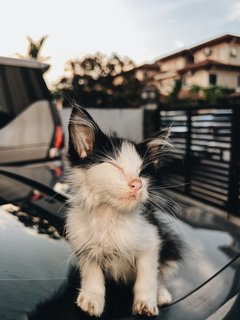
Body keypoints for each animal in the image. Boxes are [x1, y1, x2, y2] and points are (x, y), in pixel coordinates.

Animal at [64, 106, 183, 316]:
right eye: (115, 166)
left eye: (142, 173)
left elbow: (147, 276)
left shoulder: (152, 239)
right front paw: (91, 299)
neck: (109, 214)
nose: (137, 184)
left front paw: (145, 303)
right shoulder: (83, 242)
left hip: (170, 246)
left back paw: (161, 294)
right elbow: (92, 272)